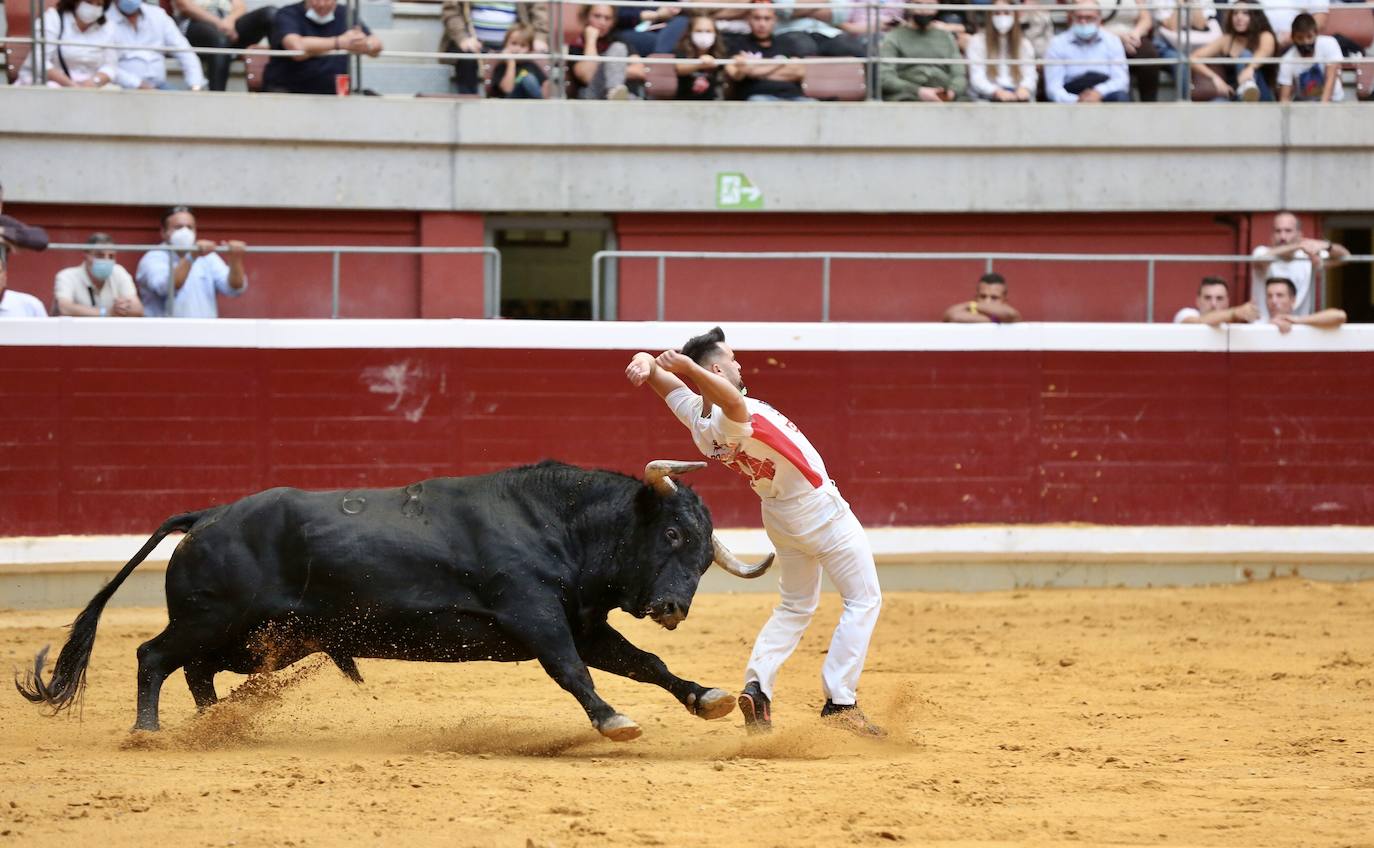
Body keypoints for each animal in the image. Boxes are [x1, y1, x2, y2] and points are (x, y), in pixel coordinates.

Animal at [16, 456, 774, 742]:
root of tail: (207, 516)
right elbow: (571, 671)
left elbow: (644, 662)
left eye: (704, 555)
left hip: (247, 637)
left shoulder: (584, 622)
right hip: (211, 618)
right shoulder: (534, 614)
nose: (674, 608)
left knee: (196, 671)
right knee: (153, 655)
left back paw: (216, 725)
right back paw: (149, 732)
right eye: (671, 532)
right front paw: (613, 720)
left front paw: (707, 698)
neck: (558, 523)